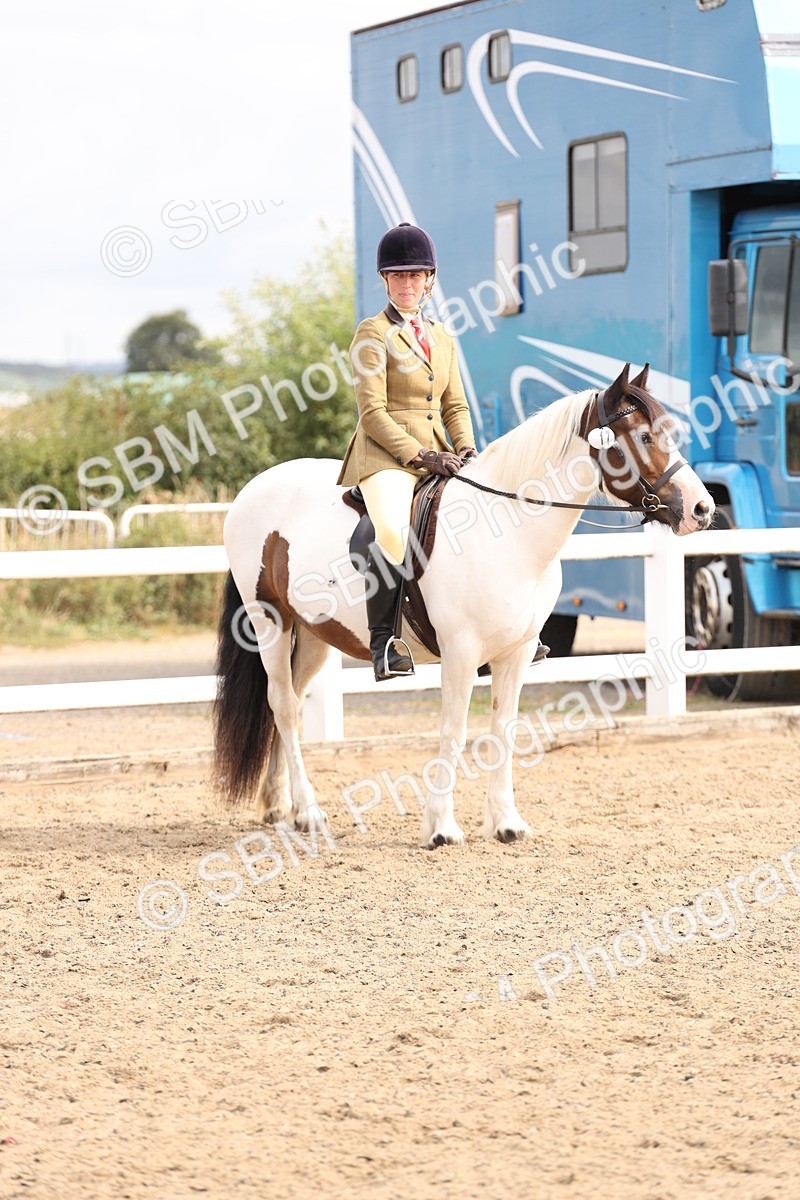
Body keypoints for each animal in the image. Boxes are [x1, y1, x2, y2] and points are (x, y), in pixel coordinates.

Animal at [212, 364, 714, 849]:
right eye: (644, 437)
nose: (702, 509)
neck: (507, 530)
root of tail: (251, 489)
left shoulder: (516, 654)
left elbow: (504, 729)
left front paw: (506, 823)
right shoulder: (461, 654)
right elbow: (453, 733)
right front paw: (441, 829)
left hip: (317, 632)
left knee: (293, 706)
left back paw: (284, 807)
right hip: (270, 620)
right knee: (282, 704)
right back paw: (312, 813)